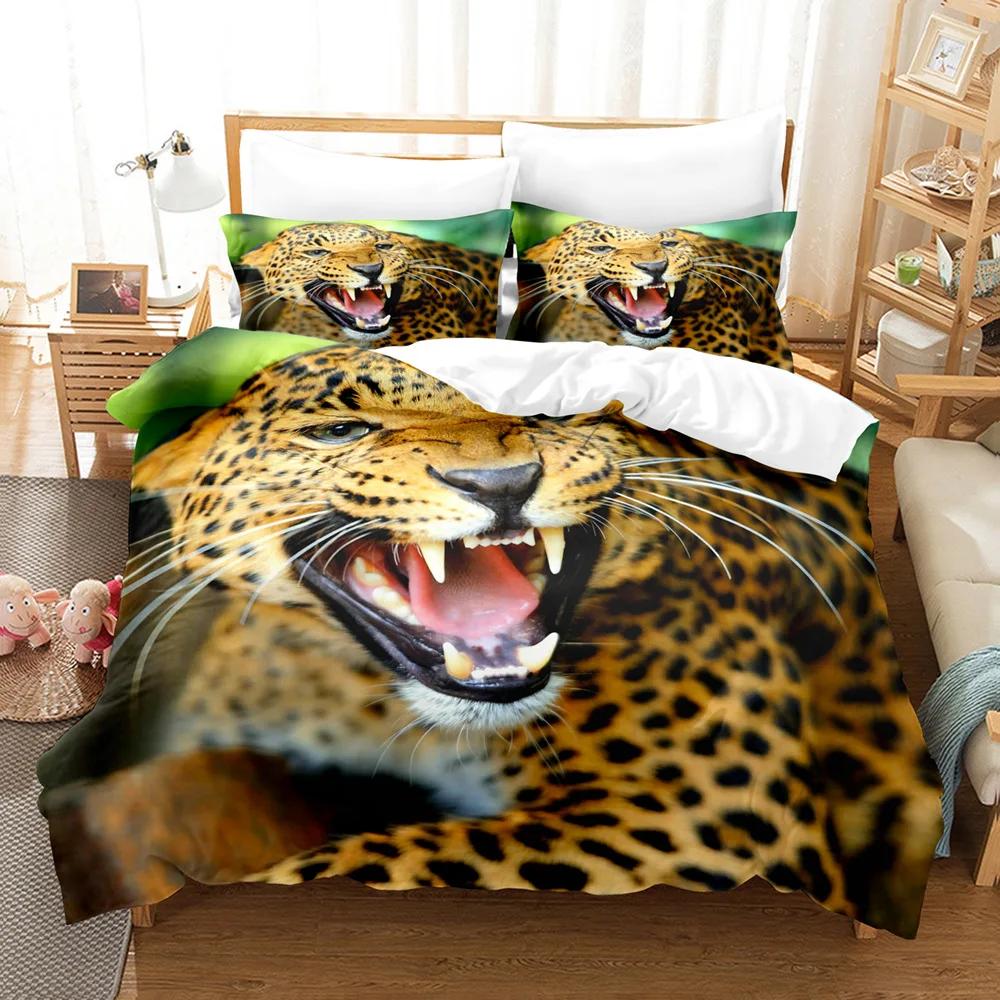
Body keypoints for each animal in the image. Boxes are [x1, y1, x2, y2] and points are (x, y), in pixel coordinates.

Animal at [44, 347, 939, 935]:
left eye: (550, 414)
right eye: (340, 430)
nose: (499, 484)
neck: (372, 706)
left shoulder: (690, 812)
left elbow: (368, 855)